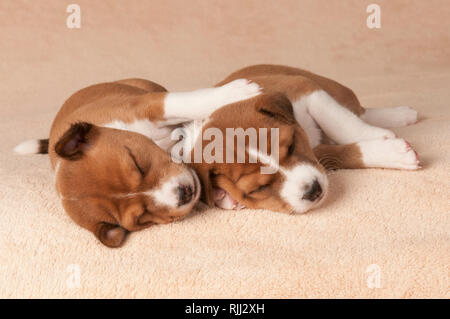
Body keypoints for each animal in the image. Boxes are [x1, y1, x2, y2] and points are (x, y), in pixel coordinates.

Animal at [14, 78, 260, 248]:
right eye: (142, 217)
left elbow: (183, 102)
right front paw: (224, 195)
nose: (184, 193)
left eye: (136, 163)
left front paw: (236, 92)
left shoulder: (147, 106)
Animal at [192, 64, 418, 215]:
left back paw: (402, 115)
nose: (313, 190)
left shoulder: (307, 90)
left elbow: (343, 124)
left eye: (291, 146)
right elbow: (343, 152)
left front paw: (380, 137)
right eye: (259, 189)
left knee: (360, 113)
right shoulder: (319, 152)